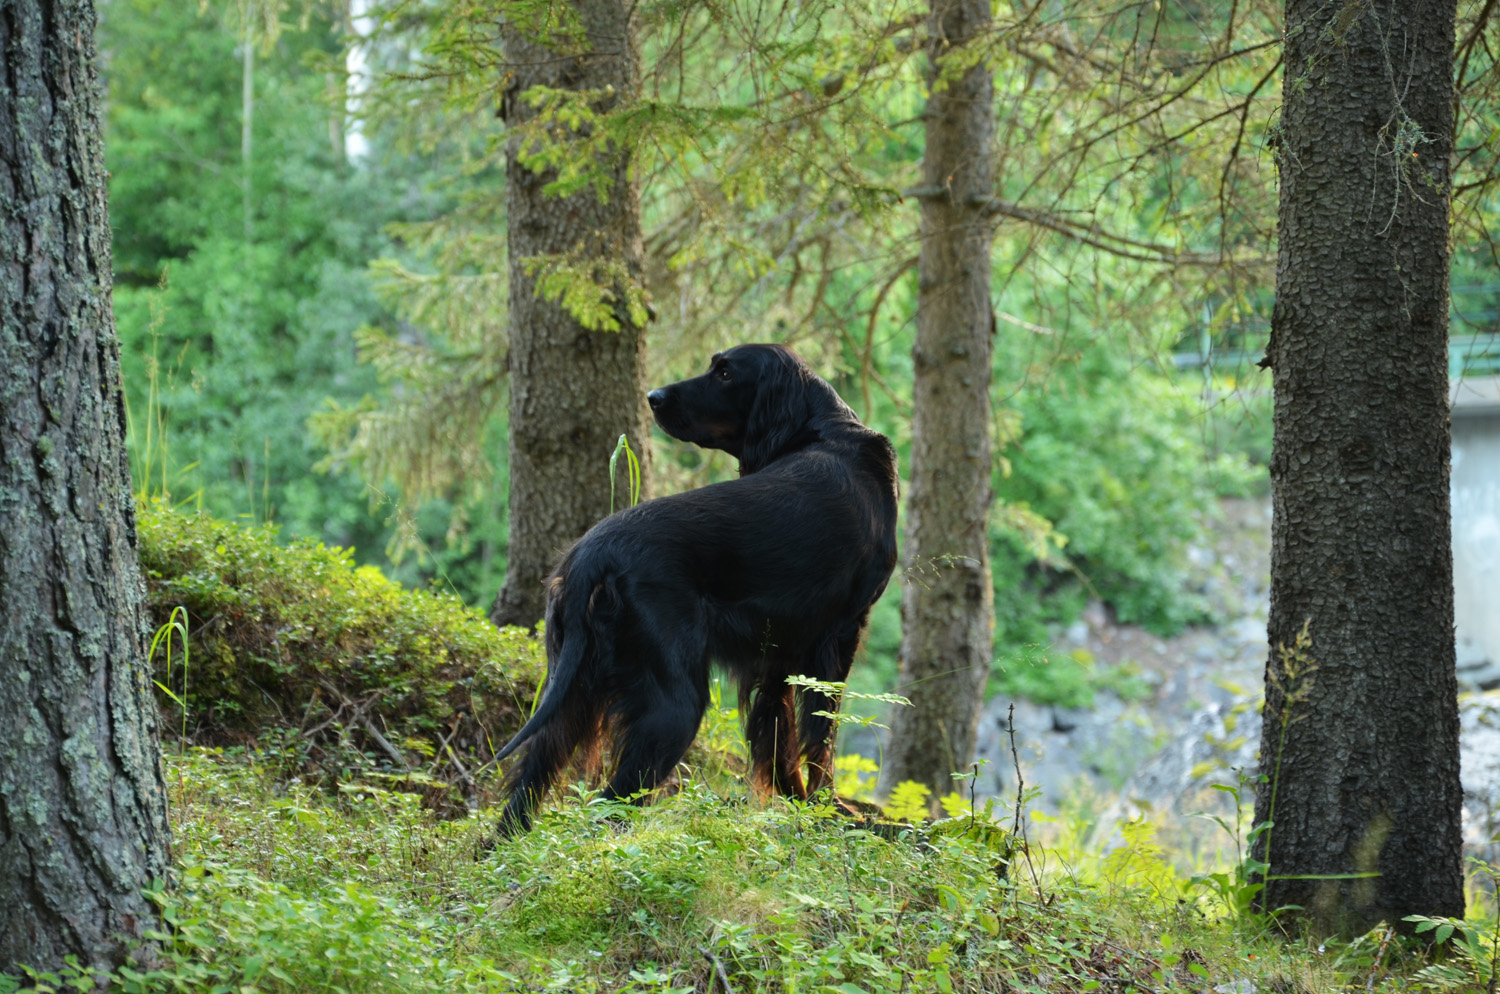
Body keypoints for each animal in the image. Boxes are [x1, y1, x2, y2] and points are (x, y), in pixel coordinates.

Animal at [492, 346, 894, 833]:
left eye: (725, 373)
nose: (653, 397)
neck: (827, 431)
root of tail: (591, 553)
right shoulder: (838, 637)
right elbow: (821, 737)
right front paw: (829, 810)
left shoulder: (780, 651)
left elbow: (779, 738)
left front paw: (799, 804)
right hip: (674, 707)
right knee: (609, 805)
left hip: (571, 692)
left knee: (524, 794)